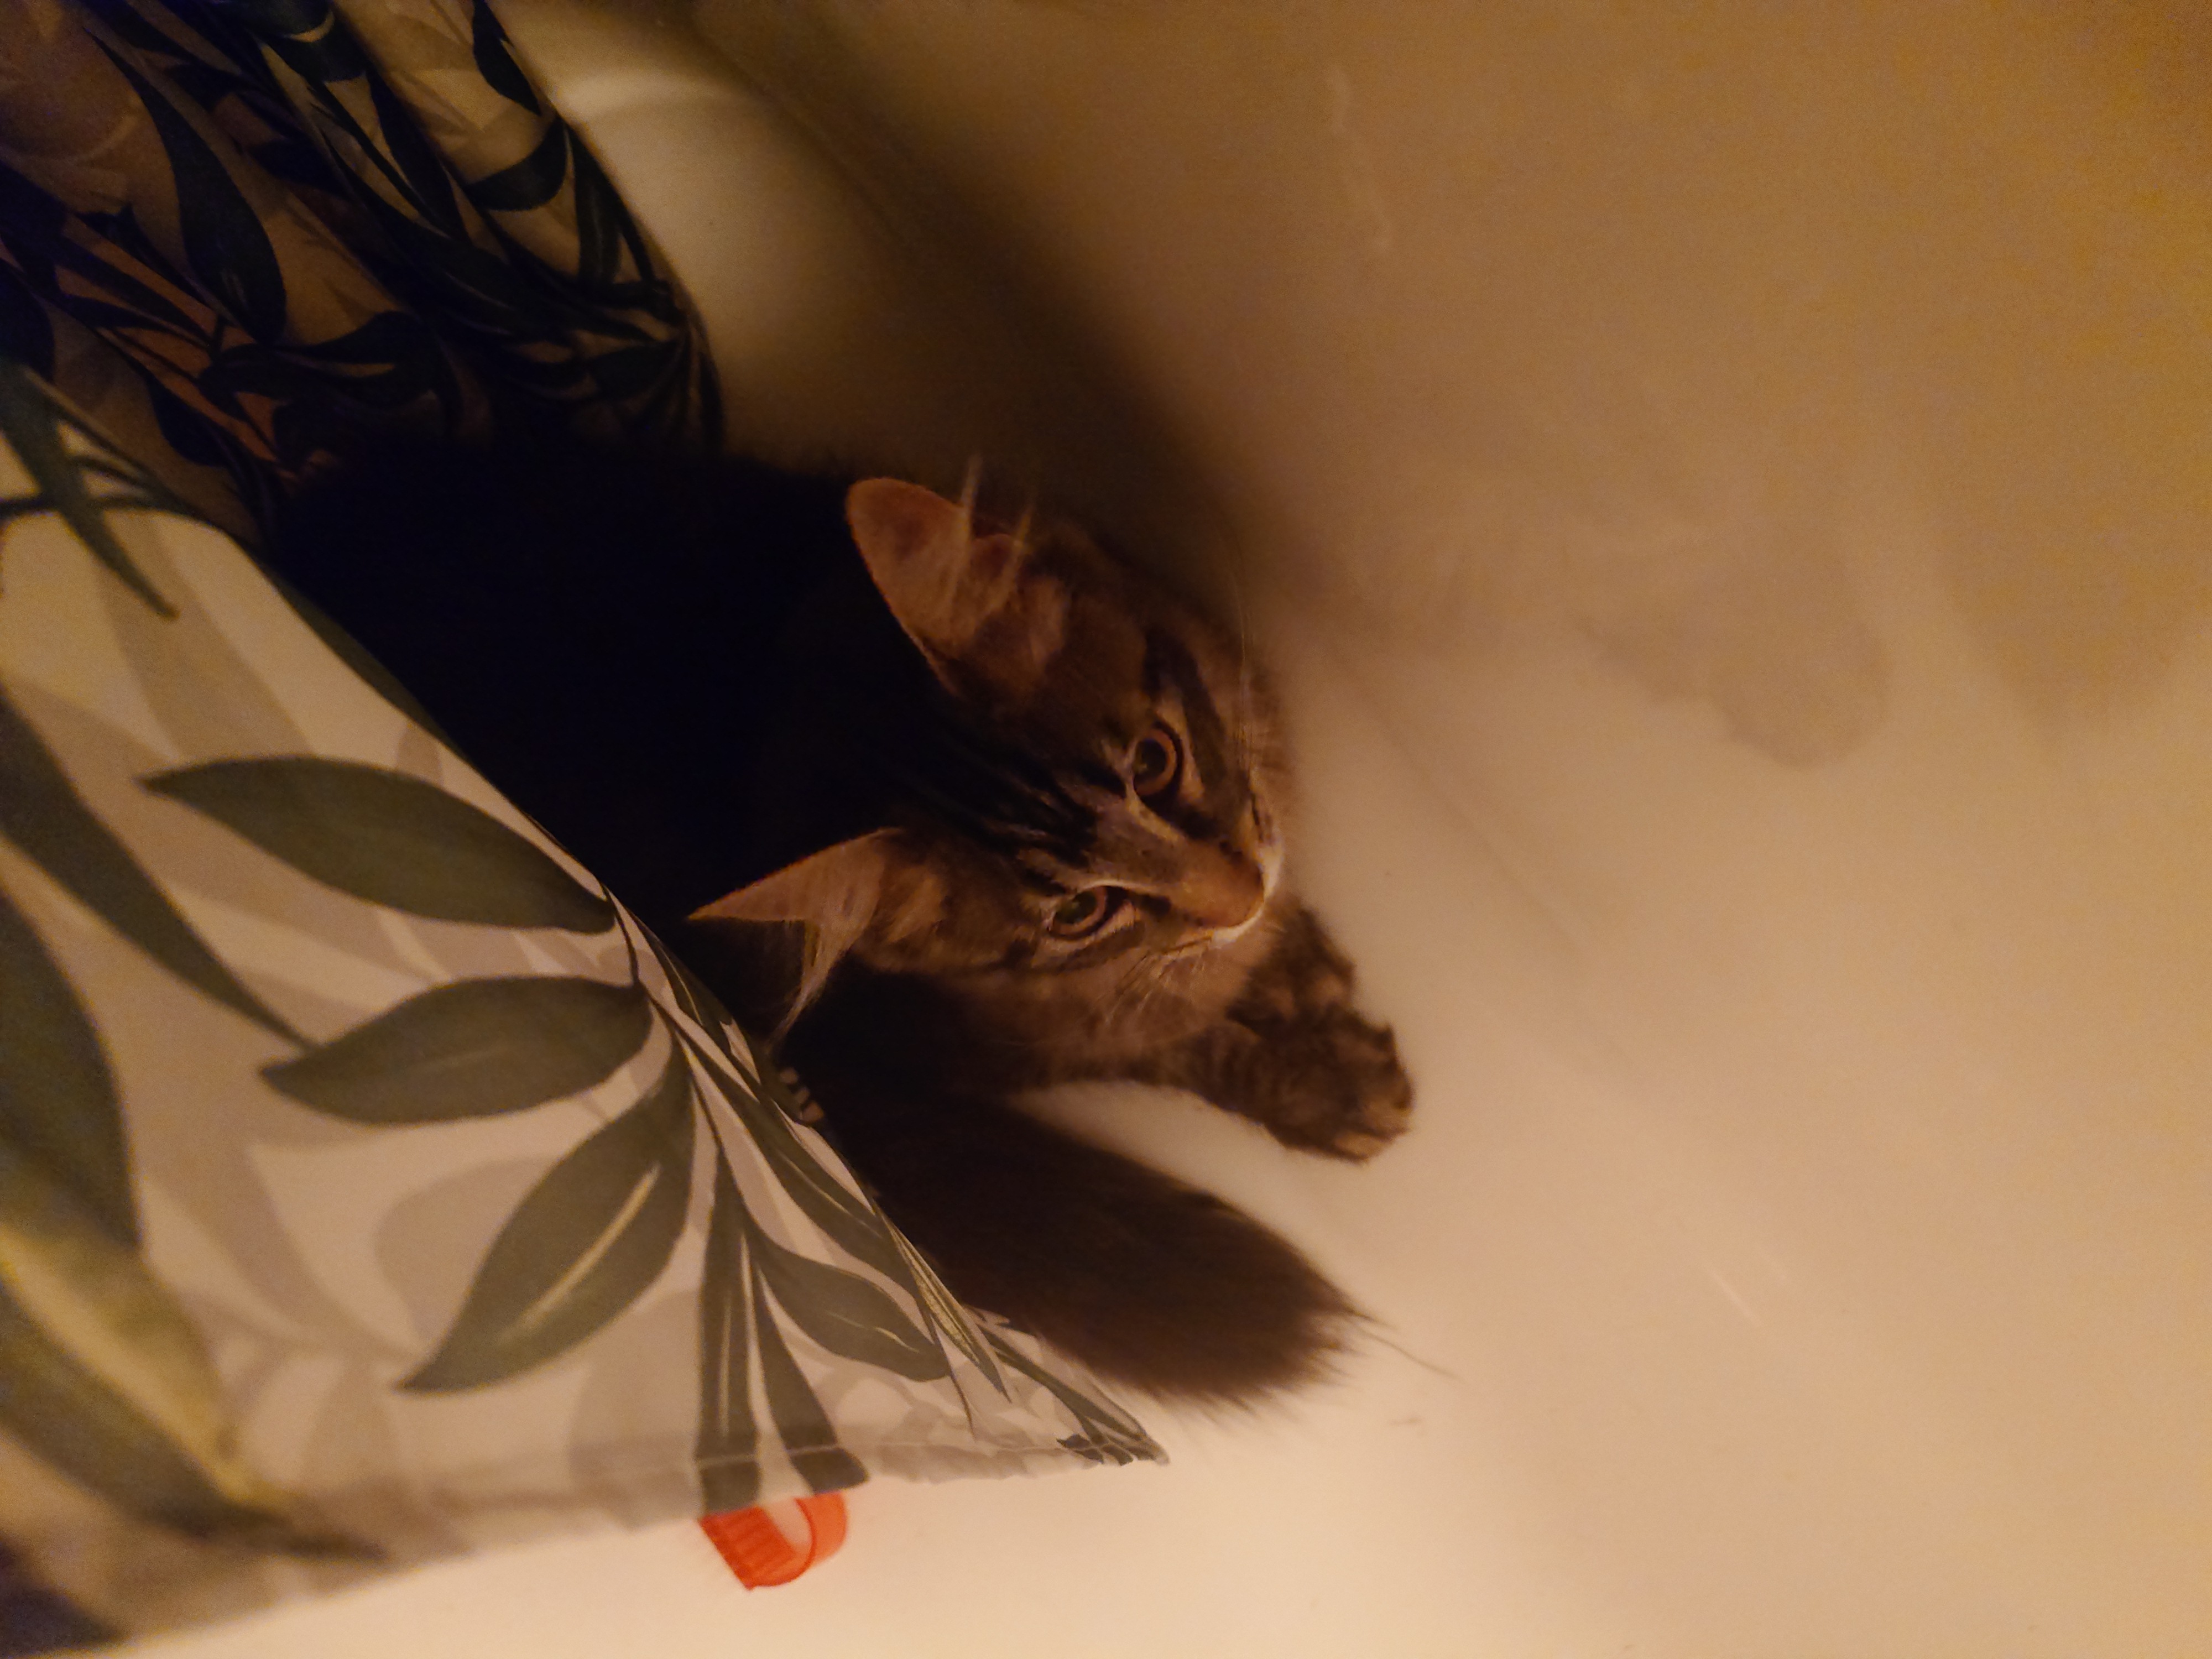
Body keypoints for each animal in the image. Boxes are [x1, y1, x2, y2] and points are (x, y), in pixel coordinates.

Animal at [266, 439, 1412, 1402]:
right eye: (1081, 911)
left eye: (1155, 761)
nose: (1241, 893)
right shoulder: (1023, 1043)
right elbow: (1189, 1045)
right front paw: (1331, 1083)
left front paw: (1298, 967)